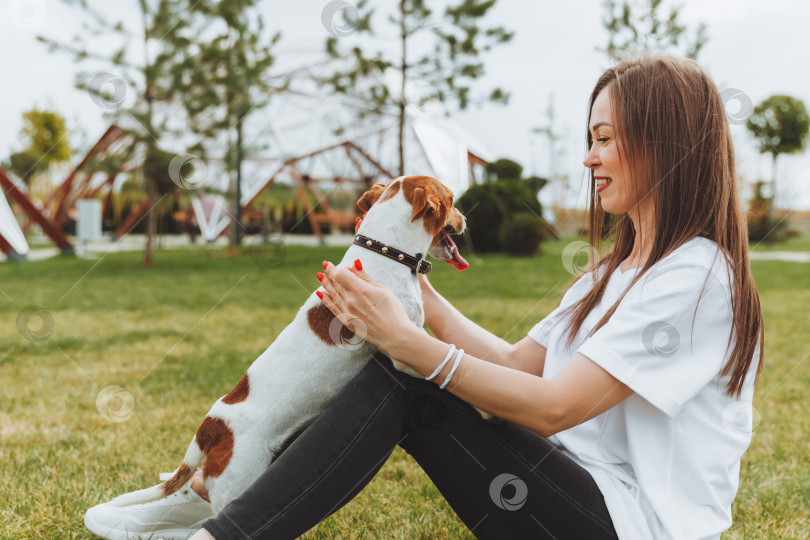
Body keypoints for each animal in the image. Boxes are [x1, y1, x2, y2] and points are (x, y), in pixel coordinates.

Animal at [109, 176, 474, 516]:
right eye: (452, 200)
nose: (466, 218)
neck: (384, 251)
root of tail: (210, 428)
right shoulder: (404, 350)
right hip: (238, 486)